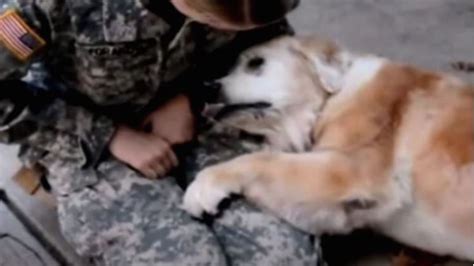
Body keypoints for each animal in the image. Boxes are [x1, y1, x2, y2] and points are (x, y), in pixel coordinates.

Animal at [182, 35, 474, 262]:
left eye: (256, 63)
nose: (205, 88)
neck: (329, 99)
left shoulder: (349, 168)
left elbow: (263, 159)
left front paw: (205, 184)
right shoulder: (340, 210)